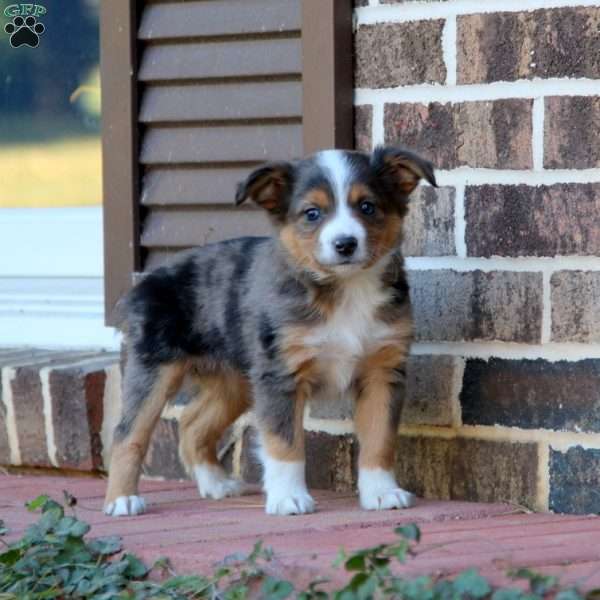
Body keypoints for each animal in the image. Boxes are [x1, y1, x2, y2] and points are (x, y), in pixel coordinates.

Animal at [103, 144, 436, 516]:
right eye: (311, 213)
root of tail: (144, 280)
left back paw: (216, 484)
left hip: (236, 381)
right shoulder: (281, 376)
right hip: (153, 371)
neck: (345, 290)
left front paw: (381, 492)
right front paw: (288, 498)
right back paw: (121, 499)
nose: (345, 244)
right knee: (127, 434)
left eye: (367, 206)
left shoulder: (382, 372)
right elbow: (284, 443)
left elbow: (380, 439)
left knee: (191, 423)